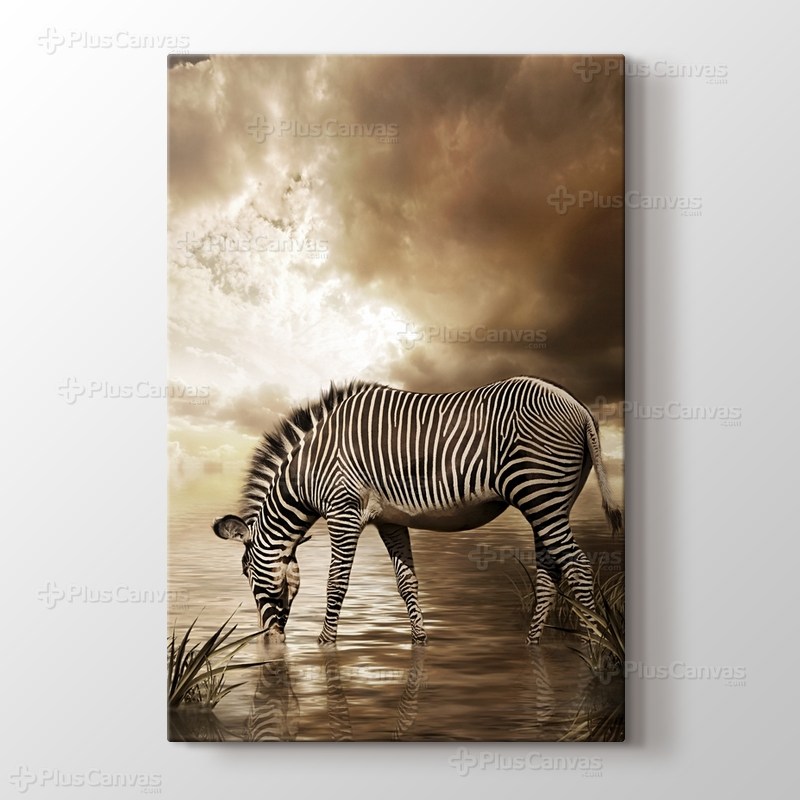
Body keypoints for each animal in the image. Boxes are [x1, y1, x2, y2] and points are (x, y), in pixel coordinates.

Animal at [213, 376, 622, 646]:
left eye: (247, 573)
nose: (269, 641)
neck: (310, 471)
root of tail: (578, 405)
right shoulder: (389, 520)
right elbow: (406, 581)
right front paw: (419, 639)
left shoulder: (343, 511)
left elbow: (336, 583)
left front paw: (325, 643)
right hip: (547, 501)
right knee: (550, 569)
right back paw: (534, 643)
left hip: (539, 491)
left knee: (577, 566)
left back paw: (595, 641)